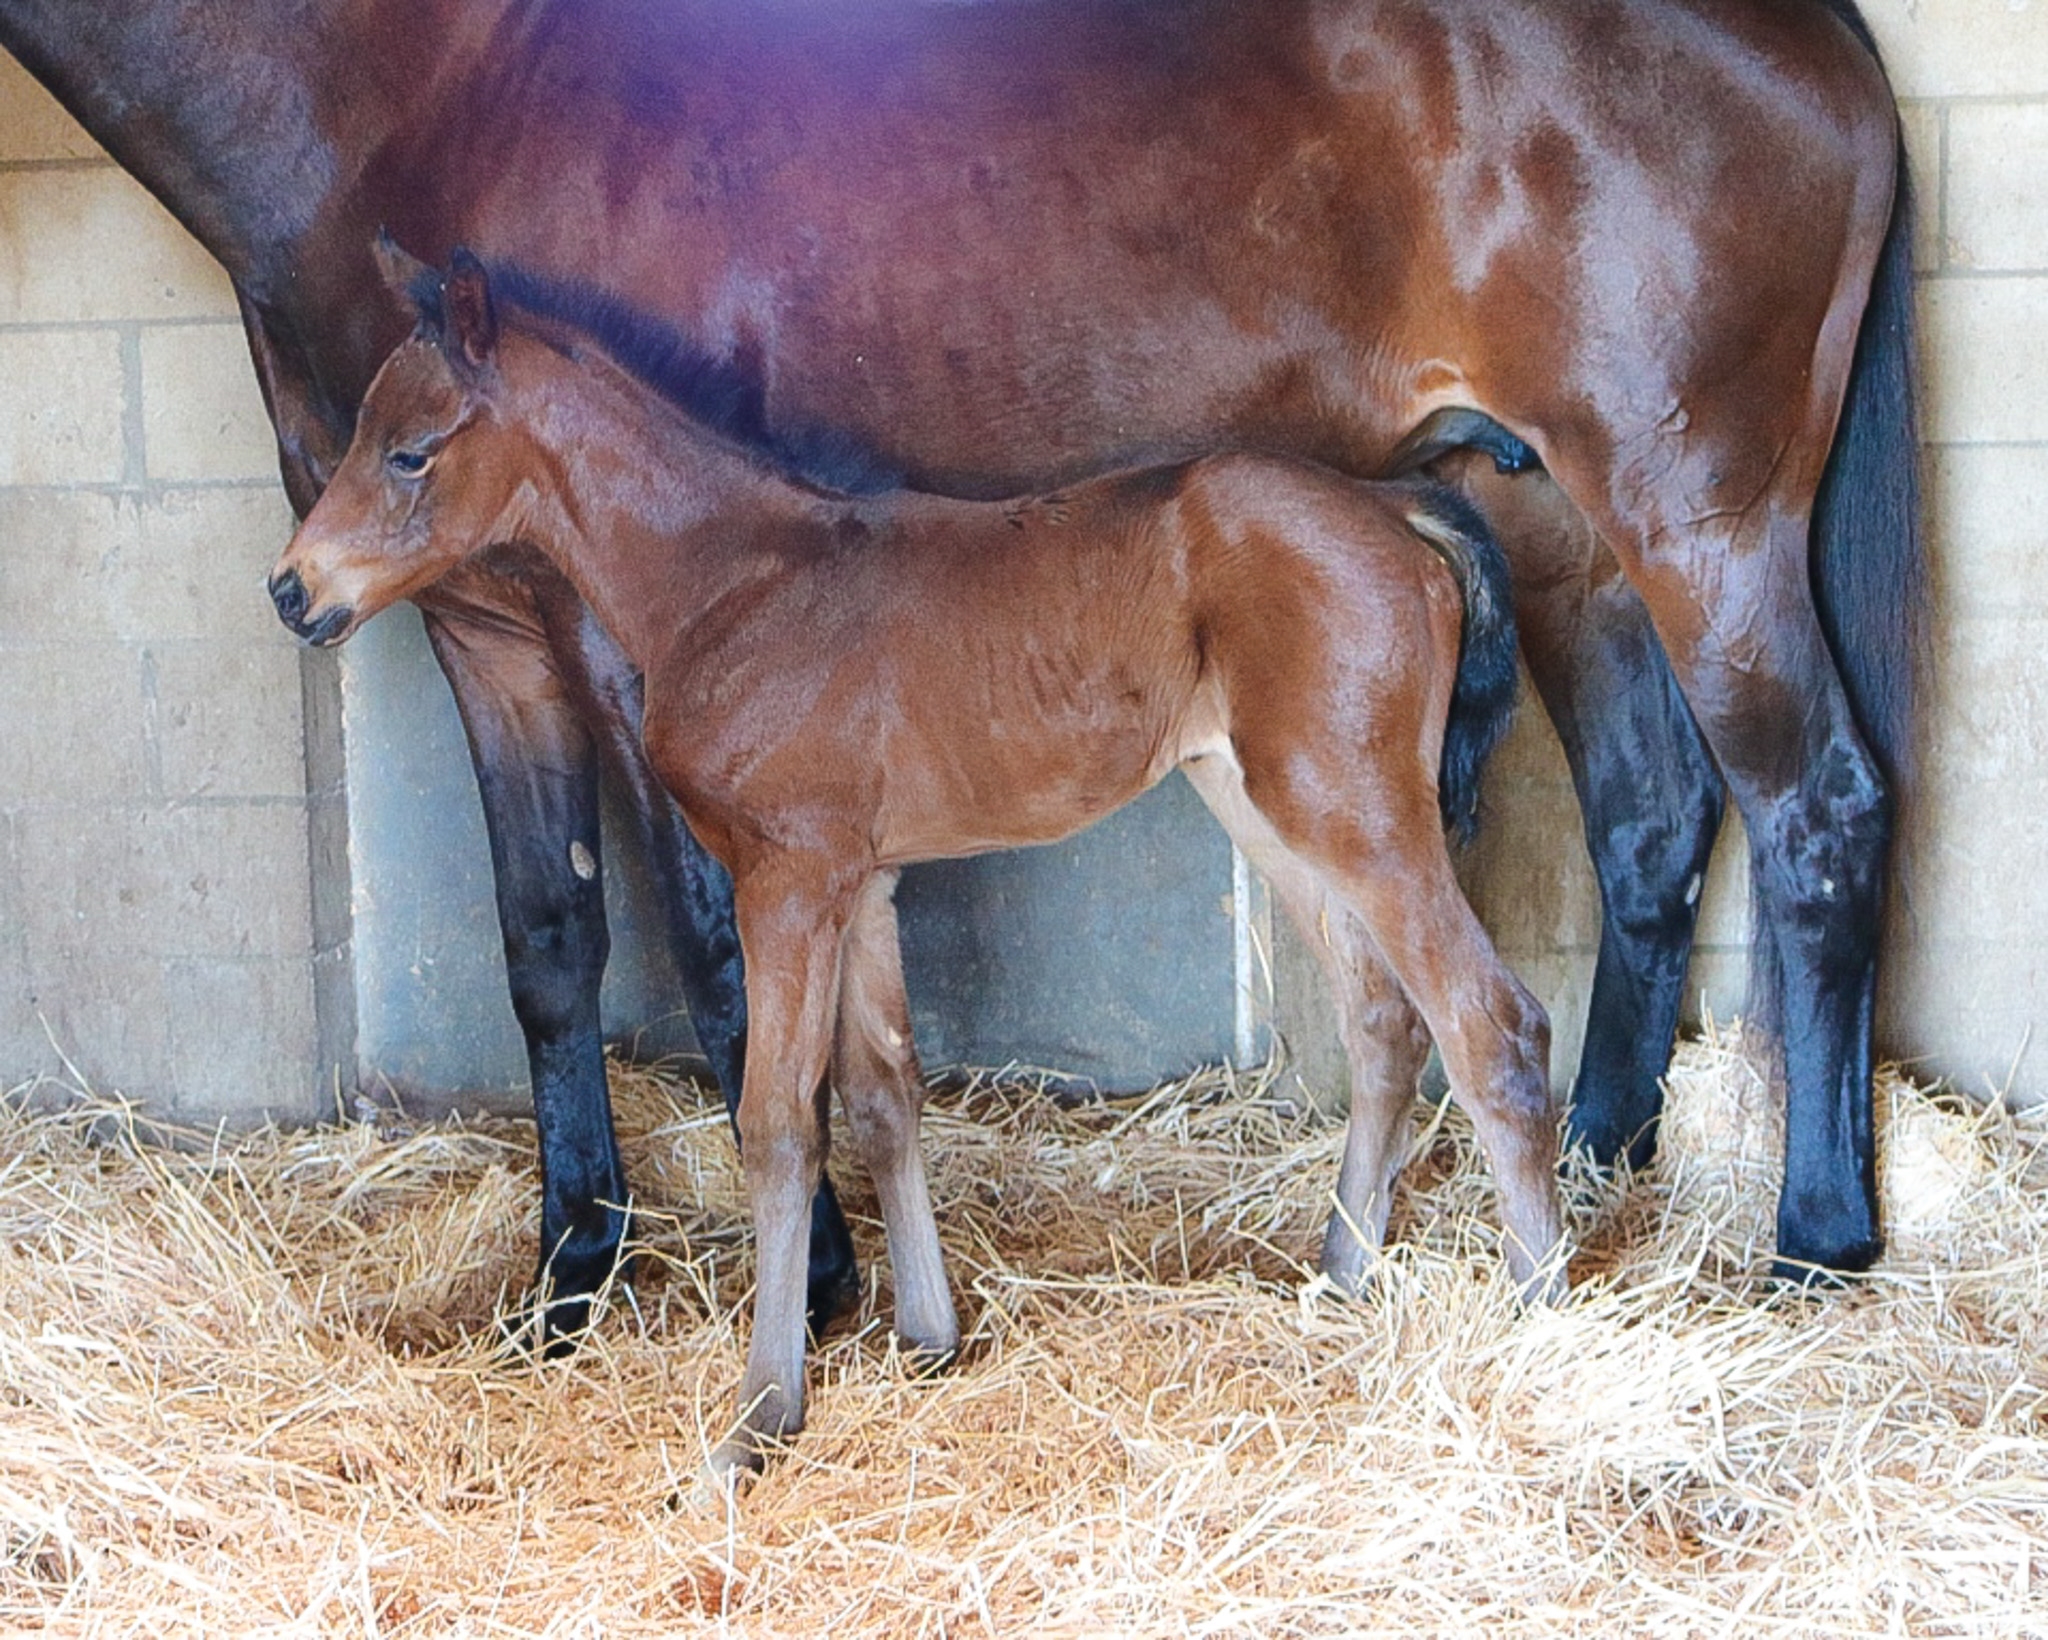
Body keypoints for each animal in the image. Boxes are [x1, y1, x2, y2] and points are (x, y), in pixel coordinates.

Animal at [1, 0, 1920, 1328]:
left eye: (415, 447)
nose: (286, 597)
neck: (415, 86)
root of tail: (1813, 37)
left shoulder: (622, 649)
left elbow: (711, 950)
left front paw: (820, 1280)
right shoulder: (482, 621)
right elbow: (547, 944)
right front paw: (567, 1281)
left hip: (1695, 516)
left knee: (1812, 812)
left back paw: (1814, 1243)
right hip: (1552, 523)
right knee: (1652, 823)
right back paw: (1603, 1162)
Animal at [267, 246, 1565, 1472]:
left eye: (410, 453)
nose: (290, 589)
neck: (733, 578)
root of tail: (1395, 506)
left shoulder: (787, 880)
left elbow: (779, 1124)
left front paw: (757, 1418)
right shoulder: (863, 880)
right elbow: (885, 1096)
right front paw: (926, 1337)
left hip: (1356, 807)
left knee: (1491, 1023)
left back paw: (1536, 1307)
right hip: (1263, 801)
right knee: (1382, 1019)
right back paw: (1339, 1274)